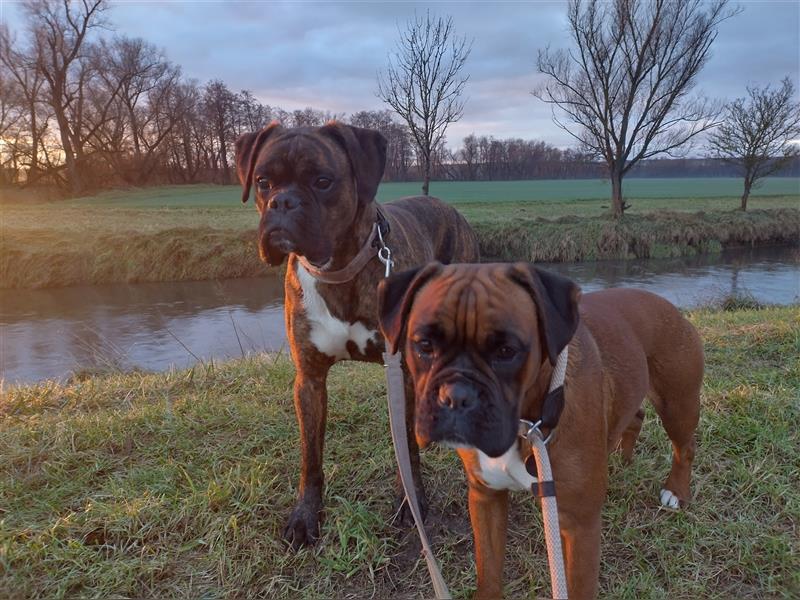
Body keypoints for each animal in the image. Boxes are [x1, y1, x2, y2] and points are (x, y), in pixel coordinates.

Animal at [234, 120, 478, 548]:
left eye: (322, 181)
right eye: (263, 182)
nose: (283, 203)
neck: (337, 269)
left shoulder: (402, 373)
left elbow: (407, 449)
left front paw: (411, 503)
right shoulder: (309, 380)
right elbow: (310, 455)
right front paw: (305, 515)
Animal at [378, 262, 704, 600]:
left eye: (506, 350)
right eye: (424, 345)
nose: (456, 395)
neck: (528, 424)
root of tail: (668, 304)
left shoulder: (580, 528)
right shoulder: (485, 498)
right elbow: (488, 572)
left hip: (677, 405)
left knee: (685, 448)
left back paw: (675, 492)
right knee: (636, 415)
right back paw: (622, 456)